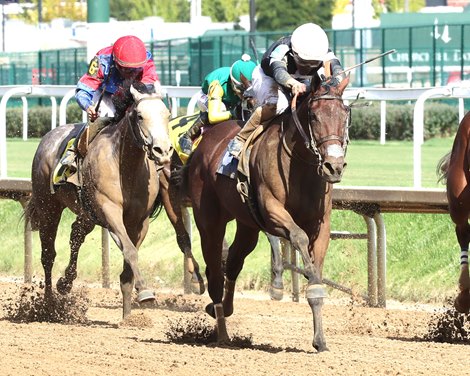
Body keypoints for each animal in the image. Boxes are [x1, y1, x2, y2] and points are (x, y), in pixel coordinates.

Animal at [25, 81, 173, 318]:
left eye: (167, 115)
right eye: (140, 115)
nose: (163, 150)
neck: (126, 166)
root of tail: (49, 136)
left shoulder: (140, 221)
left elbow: (128, 265)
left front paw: (128, 317)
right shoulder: (109, 210)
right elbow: (130, 251)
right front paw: (145, 292)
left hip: (87, 213)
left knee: (76, 235)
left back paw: (65, 283)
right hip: (48, 206)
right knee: (48, 254)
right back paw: (48, 306)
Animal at [182, 74, 350, 352]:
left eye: (345, 114)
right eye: (314, 116)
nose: (333, 167)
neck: (300, 166)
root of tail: (205, 142)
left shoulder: (321, 224)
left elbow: (317, 272)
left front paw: (320, 340)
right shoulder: (272, 212)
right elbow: (299, 238)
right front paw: (309, 280)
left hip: (247, 225)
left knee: (234, 262)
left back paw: (223, 309)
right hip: (209, 221)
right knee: (215, 272)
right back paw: (222, 333)